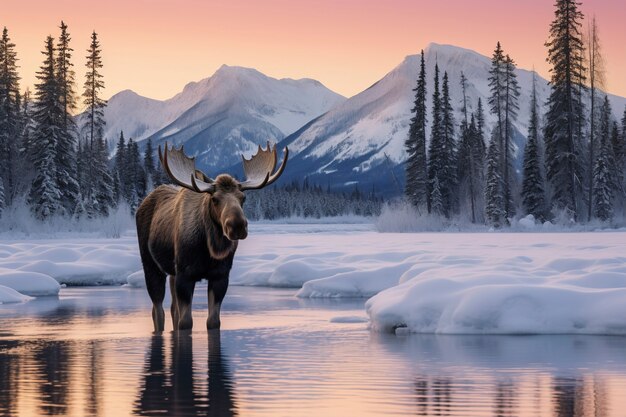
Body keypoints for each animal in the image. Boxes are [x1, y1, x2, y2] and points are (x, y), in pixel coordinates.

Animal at [136, 142, 288, 332]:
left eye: (243, 197)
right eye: (215, 199)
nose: (237, 225)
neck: (209, 249)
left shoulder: (220, 276)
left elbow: (213, 322)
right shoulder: (185, 275)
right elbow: (186, 322)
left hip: (172, 272)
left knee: (172, 309)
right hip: (151, 264)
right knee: (158, 310)